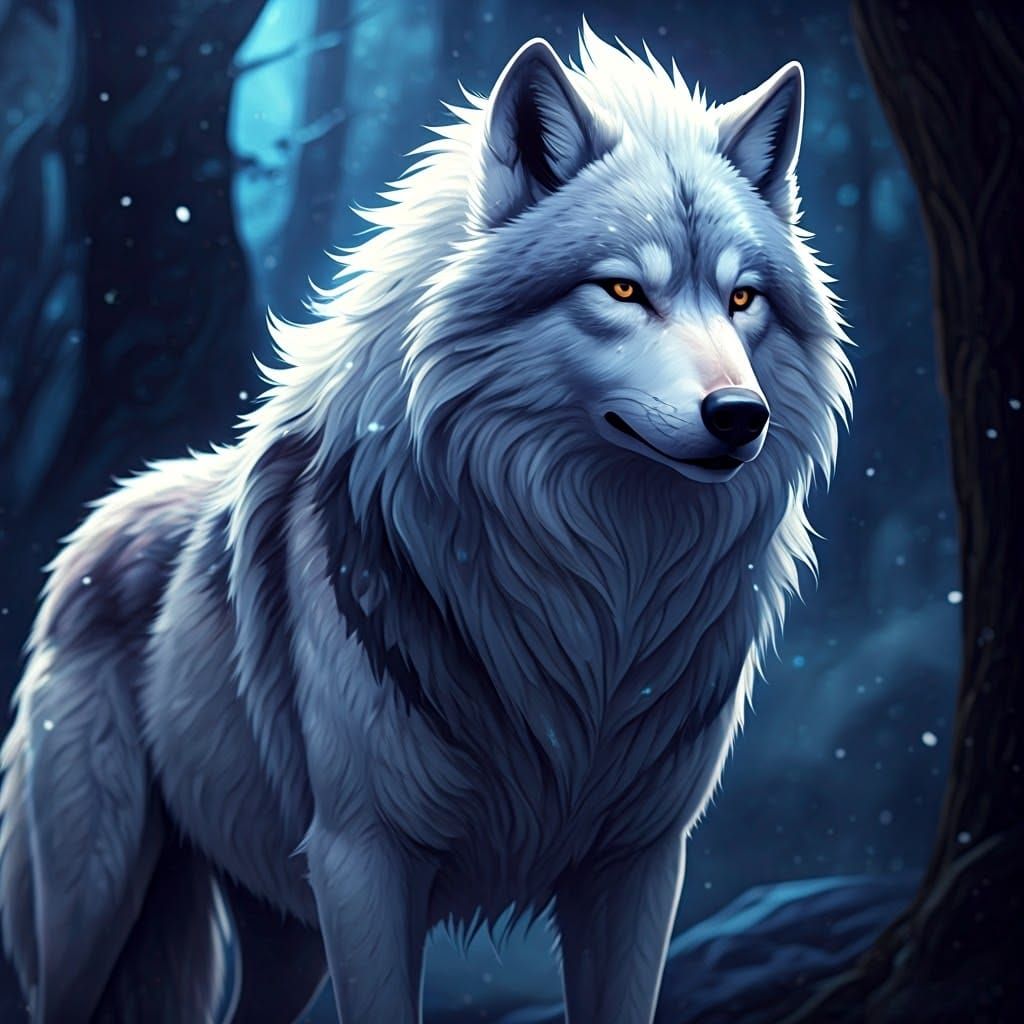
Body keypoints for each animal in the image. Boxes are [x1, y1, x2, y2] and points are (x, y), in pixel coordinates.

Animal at [0, 24, 852, 1024]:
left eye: (743, 299)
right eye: (622, 291)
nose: (740, 416)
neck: (598, 603)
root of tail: (104, 514)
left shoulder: (638, 865)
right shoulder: (364, 860)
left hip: (284, 930)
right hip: (97, 903)